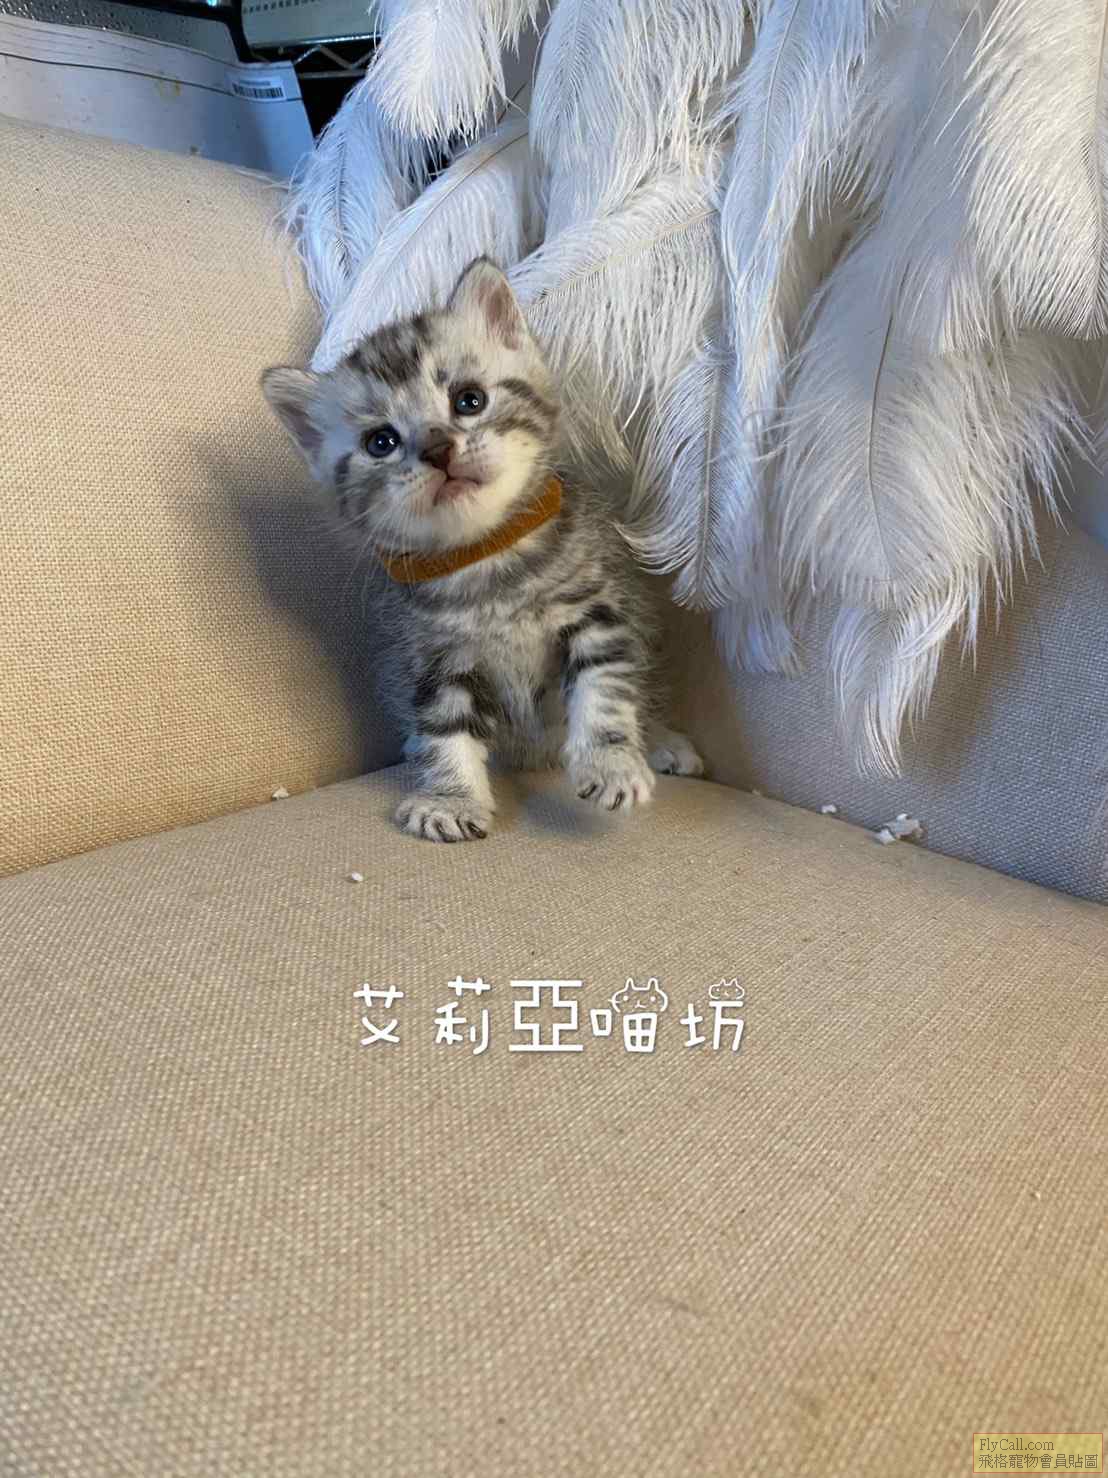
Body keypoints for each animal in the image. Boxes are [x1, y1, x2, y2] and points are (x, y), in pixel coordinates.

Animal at [262, 257, 702, 843]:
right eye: (381, 442)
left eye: (469, 400)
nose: (438, 448)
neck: (489, 561)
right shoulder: (431, 655)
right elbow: (445, 727)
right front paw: (449, 797)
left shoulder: (600, 610)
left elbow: (605, 689)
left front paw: (611, 763)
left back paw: (661, 742)